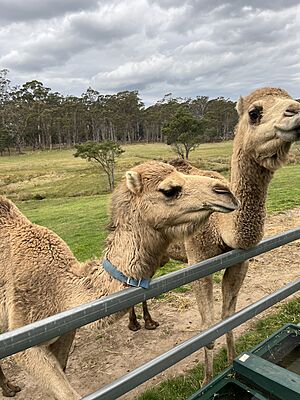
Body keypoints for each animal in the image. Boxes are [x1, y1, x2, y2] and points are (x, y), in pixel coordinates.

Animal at [0, 161, 239, 398]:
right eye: (169, 190)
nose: (226, 192)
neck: (61, 288)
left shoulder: (66, 332)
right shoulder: (24, 338)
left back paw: (9, 387)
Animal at [166, 87, 300, 384]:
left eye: (295, 98)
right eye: (254, 112)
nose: (296, 111)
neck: (221, 228)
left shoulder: (240, 260)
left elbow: (229, 315)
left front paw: (231, 364)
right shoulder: (197, 260)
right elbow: (207, 326)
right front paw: (206, 381)